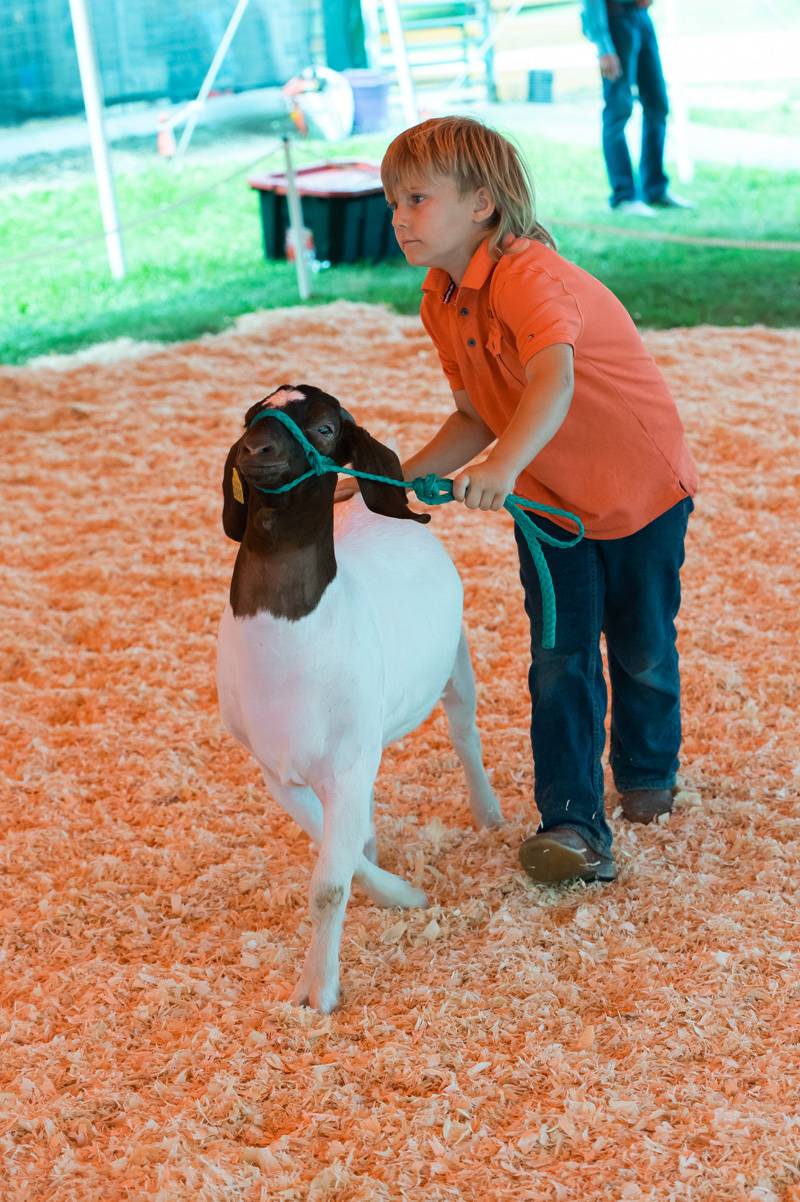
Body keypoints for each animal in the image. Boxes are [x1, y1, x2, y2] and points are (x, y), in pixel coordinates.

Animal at [215, 384, 502, 1014]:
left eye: (325, 428)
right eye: (251, 415)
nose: (256, 448)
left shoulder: (345, 766)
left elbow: (328, 885)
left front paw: (316, 990)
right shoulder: (278, 771)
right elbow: (335, 852)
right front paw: (398, 893)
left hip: (456, 659)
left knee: (465, 734)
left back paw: (488, 813)